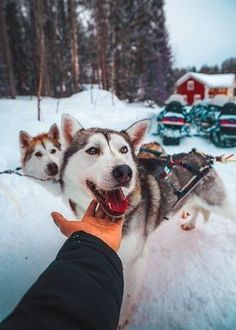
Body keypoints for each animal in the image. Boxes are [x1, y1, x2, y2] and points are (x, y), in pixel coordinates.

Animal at [58, 114, 234, 328]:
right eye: (93, 150)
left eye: (124, 150)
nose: (124, 171)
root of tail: (202, 156)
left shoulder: (135, 260)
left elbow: (127, 296)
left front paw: (121, 320)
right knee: (196, 210)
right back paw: (191, 223)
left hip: (218, 203)